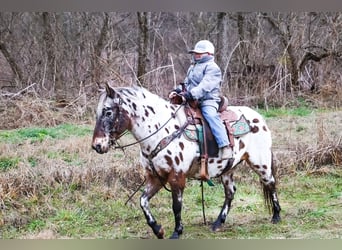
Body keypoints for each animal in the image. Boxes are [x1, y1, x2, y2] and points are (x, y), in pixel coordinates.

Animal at [91, 83, 280, 239]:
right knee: (230, 192)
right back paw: (218, 222)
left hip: (260, 162)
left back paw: (276, 216)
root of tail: (259, 118)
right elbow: (143, 201)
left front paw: (177, 231)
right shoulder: (155, 177)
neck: (162, 132)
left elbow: (176, 205)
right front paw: (158, 230)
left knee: (270, 183)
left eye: (108, 112)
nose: (97, 146)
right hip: (228, 169)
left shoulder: (177, 177)